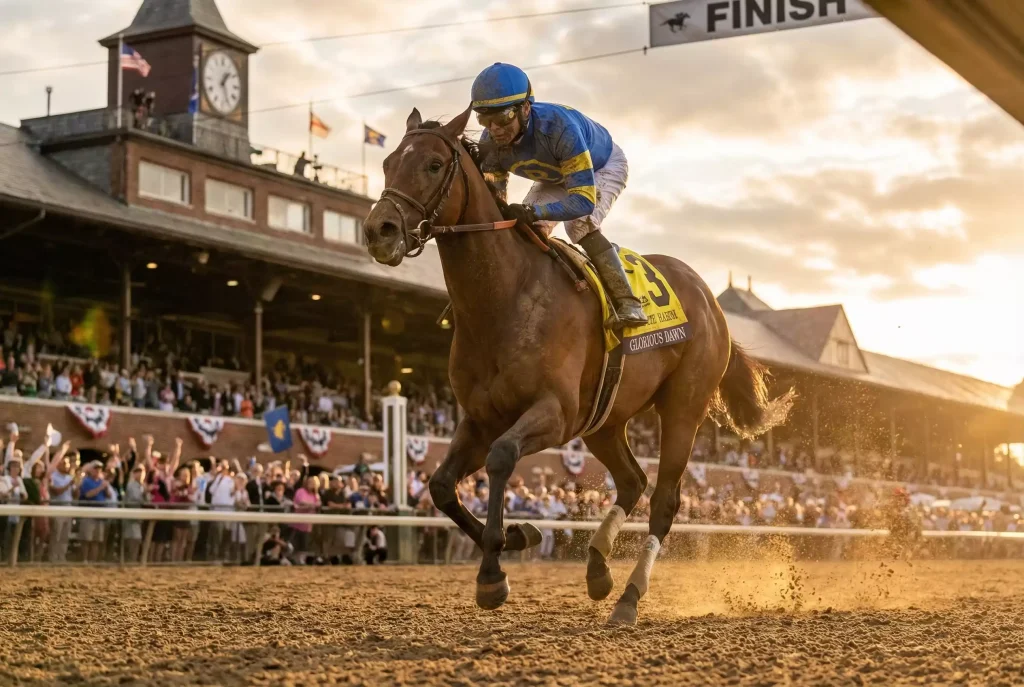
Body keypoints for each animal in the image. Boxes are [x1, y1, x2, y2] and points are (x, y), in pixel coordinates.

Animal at [362, 106, 794, 625]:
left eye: (432, 164)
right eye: (387, 163)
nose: (378, 231)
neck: (503, 300)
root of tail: (710, 300)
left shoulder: (556, 412)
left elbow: (501, 457)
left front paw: (493, 571)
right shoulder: (480, 417)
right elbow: (442, 486)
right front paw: (518, 536)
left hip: (682, 409)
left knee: (664, 499)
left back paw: (629, 597)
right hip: (604, 421)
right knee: (632, 481)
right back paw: (598, 568)